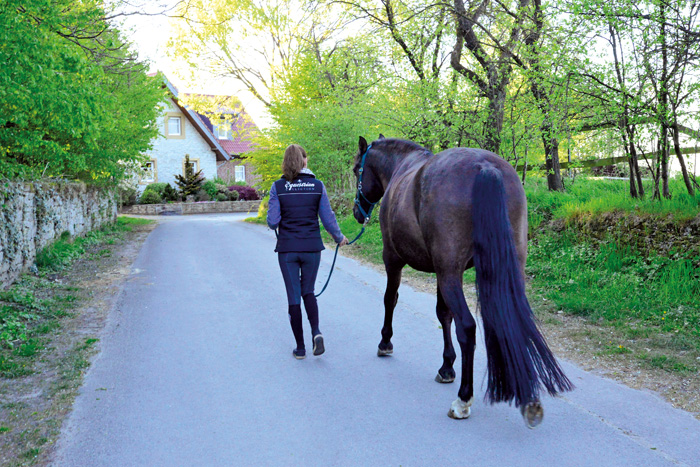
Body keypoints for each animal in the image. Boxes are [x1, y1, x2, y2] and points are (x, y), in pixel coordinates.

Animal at [352, 134, 572, 428]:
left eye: (357, 170)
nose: (357, 212)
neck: (402, 168)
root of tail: (485, 167)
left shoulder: (394, 259)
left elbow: (391, 299)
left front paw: (385, 343)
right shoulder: (441, 270)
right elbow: (443, 314)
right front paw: (447, 366)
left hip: (449, 274)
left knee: (467, 327)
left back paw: (463, 400)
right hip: (501, 270)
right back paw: (529, 400)